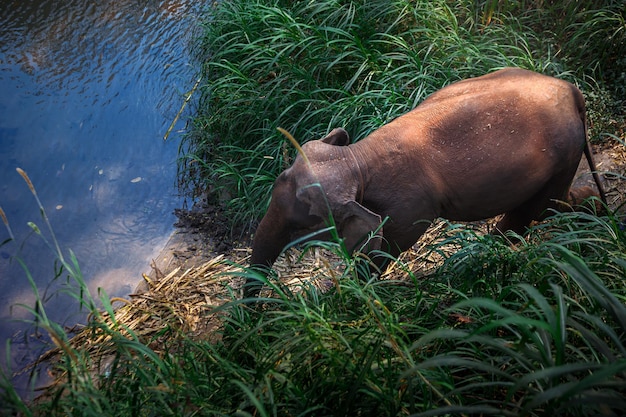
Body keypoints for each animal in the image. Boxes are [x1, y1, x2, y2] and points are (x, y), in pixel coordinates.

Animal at [244, 67, 604, 296]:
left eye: (301, 226)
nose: (250, 320)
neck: (357, 159)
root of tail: (572, 91)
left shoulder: (408, 208)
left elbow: (382, 253)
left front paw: (346, 296)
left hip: (562, 152)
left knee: (536, 211)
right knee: (548, 206)